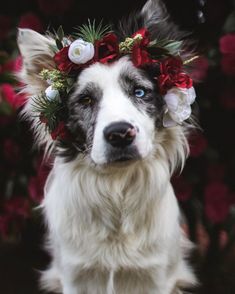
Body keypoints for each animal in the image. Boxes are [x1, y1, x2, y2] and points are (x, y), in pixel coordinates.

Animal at [17, 1, 196, 292]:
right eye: (86, 100)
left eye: (139, 92)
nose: (120, 134)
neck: (116, 190)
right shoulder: (76, 275)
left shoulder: (155, 274)